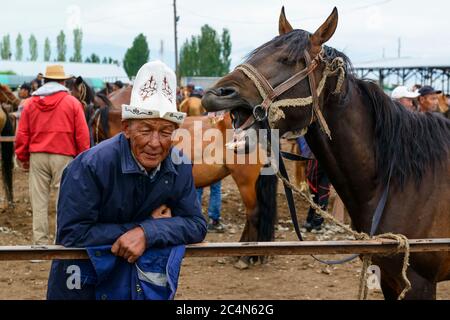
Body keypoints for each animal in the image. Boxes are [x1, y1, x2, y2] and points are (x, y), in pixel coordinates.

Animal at [204, 6, 450, 298]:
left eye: (289, 59)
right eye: (257, 53)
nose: (215, 94)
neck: (401, 182)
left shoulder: (419, 282)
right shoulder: (390, 279)